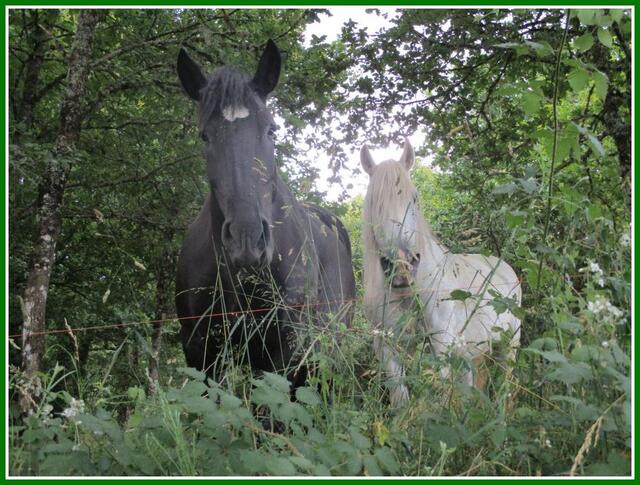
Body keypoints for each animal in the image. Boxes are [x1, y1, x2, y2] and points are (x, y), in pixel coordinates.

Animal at [360, 137, 520, 404]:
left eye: (414, 198)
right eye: (373, 202)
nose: (402, 267)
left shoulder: (441, 347)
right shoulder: (388, 348)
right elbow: (401, 401)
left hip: (509, 345)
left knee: (506, 389)